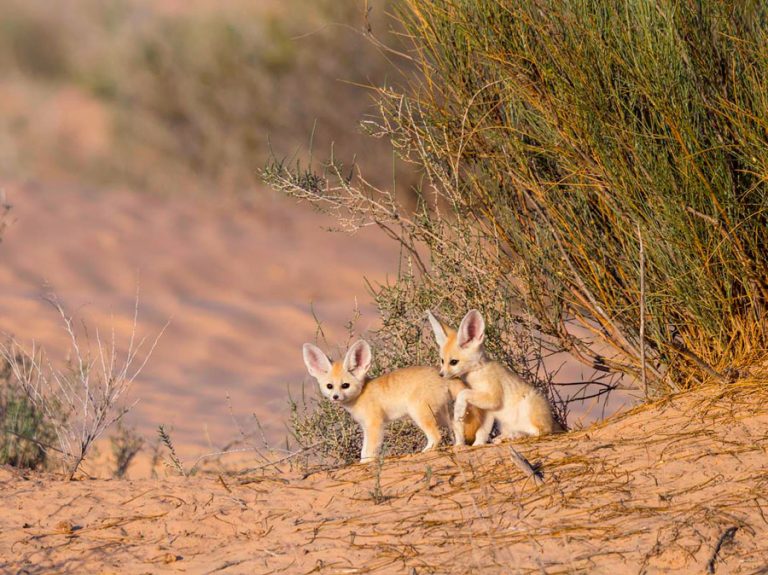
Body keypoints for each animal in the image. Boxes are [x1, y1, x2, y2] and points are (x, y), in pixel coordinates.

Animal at [302, 340, 476, 462]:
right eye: (329, 386)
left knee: (436, 436)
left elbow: (368, 451)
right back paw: (458, 447)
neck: (362, 393)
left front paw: (365, 464)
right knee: (457, 428)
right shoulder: (366, 426)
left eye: (345, 385)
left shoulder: (375, 425)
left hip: (419, 413)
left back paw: (424, 453)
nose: (335, 397)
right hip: (441, 414)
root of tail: (444, 376)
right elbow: (364, 451)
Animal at [426, 308, 560, 448]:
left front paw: (459, 409)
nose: (441, 375)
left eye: (453, 362)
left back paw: (516, 435)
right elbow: (482, 431)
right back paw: (504, 437)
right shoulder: (487, 410)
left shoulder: (493, 398)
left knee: (540, 431)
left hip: (529, 407)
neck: (478, 372)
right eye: (442, 361)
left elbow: (463, 393)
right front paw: (477, 444)